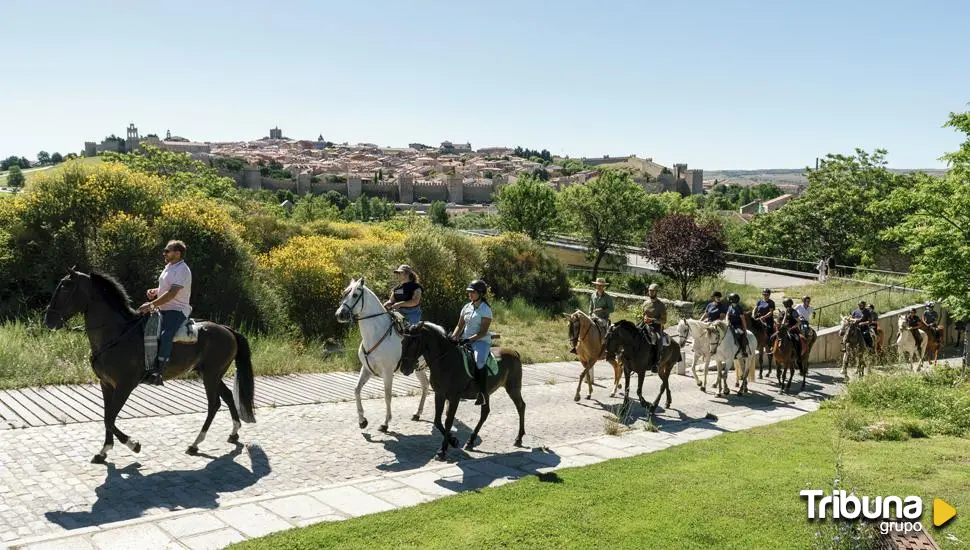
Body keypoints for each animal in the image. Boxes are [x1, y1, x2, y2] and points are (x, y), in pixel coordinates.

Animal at [43, 270, 255, 464]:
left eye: (65, 287)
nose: (48, 320)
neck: (117, 334)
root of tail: (227, 330)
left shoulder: (125, 386)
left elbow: (110, 418)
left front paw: (133, 444)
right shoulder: (106, 384)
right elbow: (107, 417)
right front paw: (103, 451)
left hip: (211, 375)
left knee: (214, 404)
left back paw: (195, 444)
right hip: (211, 374)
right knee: (227, 396)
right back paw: (233, 433)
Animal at [334, 280, 430, 436]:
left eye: (355, 294)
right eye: (344, 292)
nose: (340, 314)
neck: (375, 334)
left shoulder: (388, 372)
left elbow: (387, 396)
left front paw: (385, 424)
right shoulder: (366, 369)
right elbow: (356, 390)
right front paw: (362, 421)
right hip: (419, 369)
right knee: (426, 385)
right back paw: (417, 414)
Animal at [398, 324, 524, 462]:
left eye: (414, 343)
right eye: (403, 342)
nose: (404, 369)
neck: (445, 361)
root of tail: (514, 352)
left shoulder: (454, 397)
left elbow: (448, 421)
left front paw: (442, 450)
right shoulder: (440, 394)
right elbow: (437, 421)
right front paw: (453, 441)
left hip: (513, 388)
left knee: (520, 407)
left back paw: (519, 438)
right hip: (487, 393)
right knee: (485, 413)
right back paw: (470, 441)